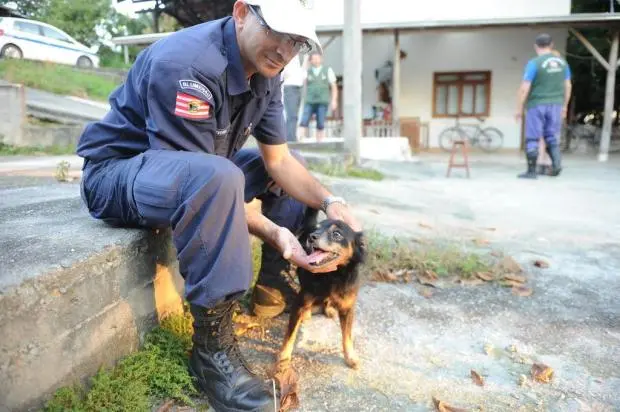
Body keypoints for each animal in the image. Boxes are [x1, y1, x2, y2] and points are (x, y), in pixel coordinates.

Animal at [278, 209, 368, 370]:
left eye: (337, 234)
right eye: (316, 229)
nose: (312, 237)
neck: (332, 276)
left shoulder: (348, 309)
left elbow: (347, 336)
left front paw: (350, 357)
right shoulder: (300, 303)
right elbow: (290, 333)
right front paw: (284, 356)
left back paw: (329, 309)